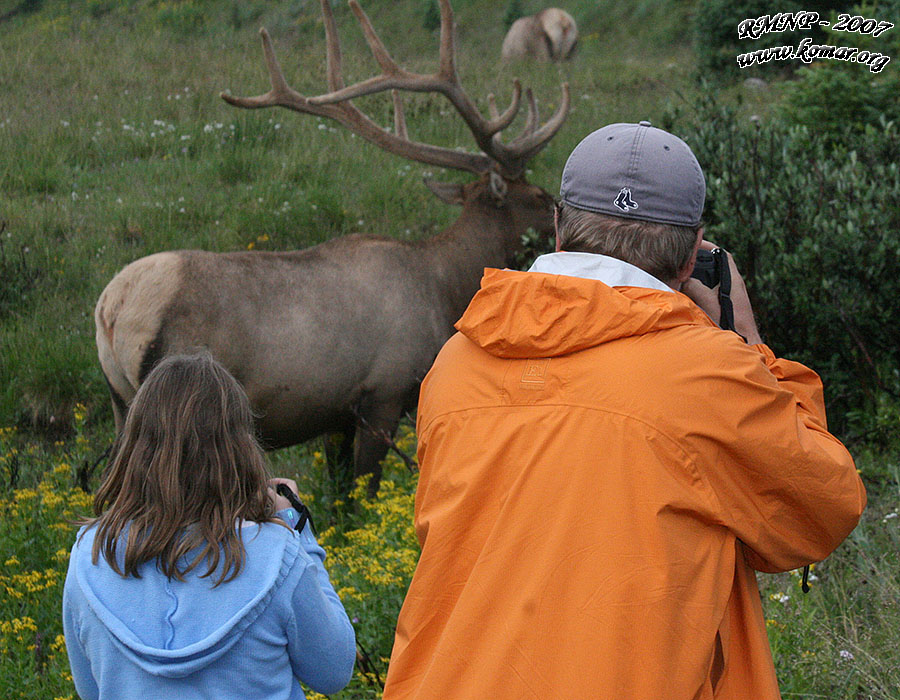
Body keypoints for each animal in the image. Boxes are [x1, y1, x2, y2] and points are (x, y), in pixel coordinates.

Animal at [93, 0, 568, 494]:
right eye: (538, 197)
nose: (560, 215)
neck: (445, 288)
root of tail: (112, 310)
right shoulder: (383, 393)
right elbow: (365, 490)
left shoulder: (334, 412)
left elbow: (341, 496)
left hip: (120, 402)